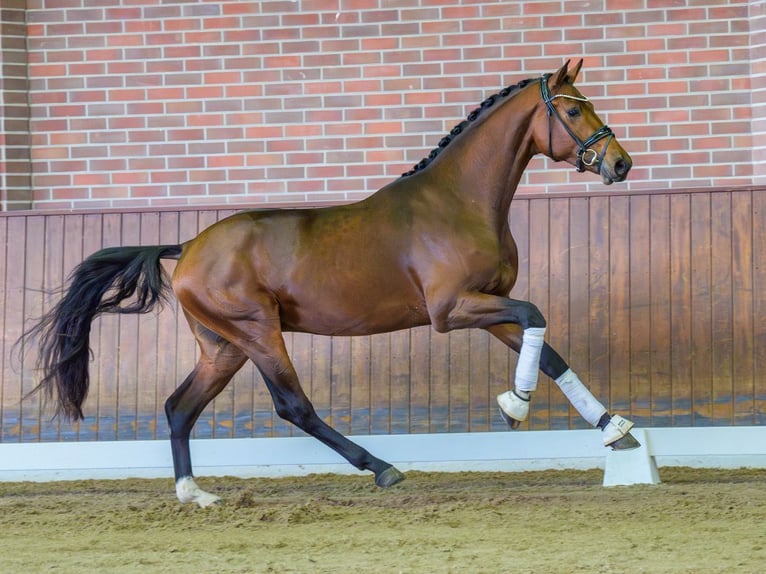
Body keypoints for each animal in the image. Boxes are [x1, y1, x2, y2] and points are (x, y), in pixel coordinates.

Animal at [24, 59, 636, 508]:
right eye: (574, 109)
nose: (620, 164)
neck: (458, 202)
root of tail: (190, 246)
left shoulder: (489, 305)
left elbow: (548, 350)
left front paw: (616, 431)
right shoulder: (453, 310)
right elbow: (537, 316)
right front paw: (517, 405)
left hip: (223, 348)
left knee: (179, 407)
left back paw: (195, 494)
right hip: (258, 333)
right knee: (294, 408)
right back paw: (382, 469)